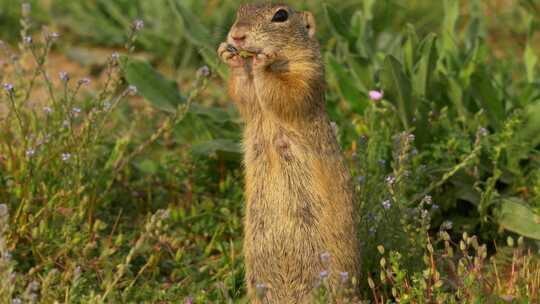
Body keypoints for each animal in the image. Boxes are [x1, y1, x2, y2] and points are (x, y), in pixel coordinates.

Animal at [217, 1, 360, 302]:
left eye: (280, 15)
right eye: (239, 10)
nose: (237, 36)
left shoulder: (307, 72)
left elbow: (288, 92)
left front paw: (261, 64)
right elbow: (244, 93)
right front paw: (232, 58)